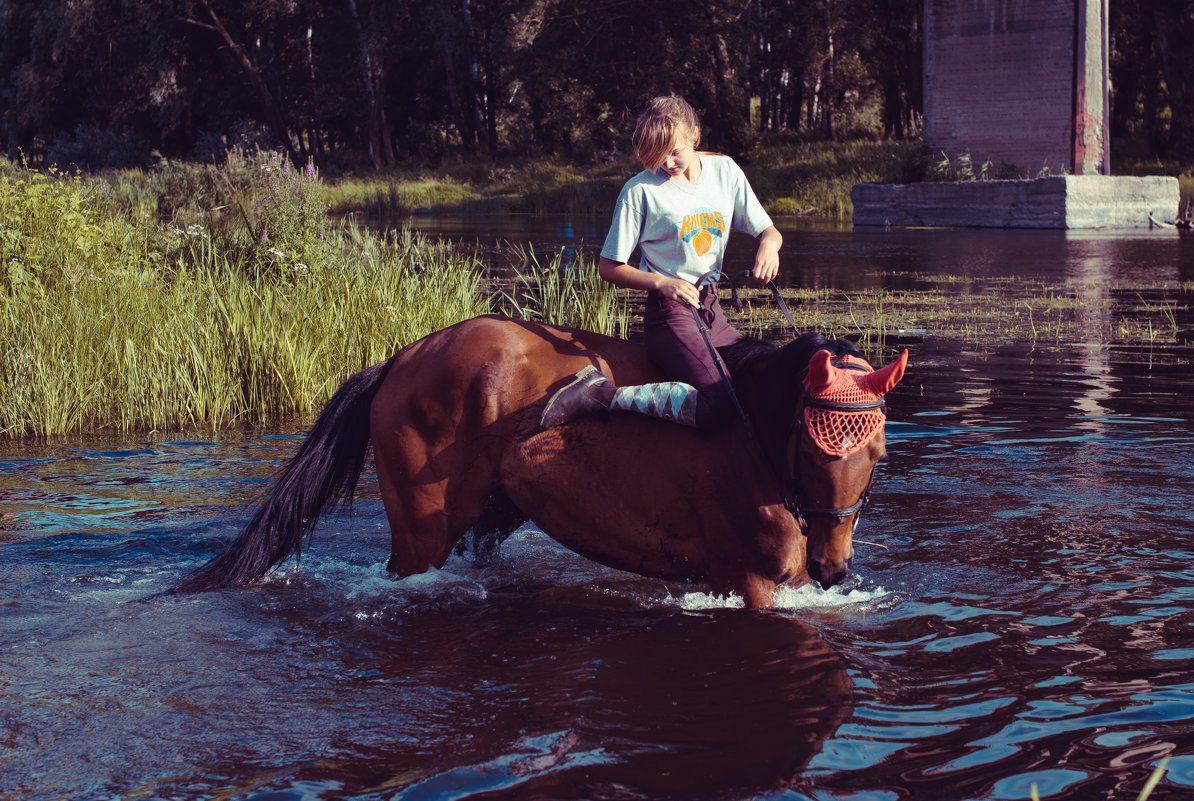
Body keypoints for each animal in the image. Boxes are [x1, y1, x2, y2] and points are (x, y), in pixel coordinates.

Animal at [173, 312, 907, 608]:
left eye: (878, 451)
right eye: (811, 445)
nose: (835, 568)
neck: (756, 441)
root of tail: (401, 358)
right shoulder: (747, 580)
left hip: (494, 511)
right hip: (420, 533)